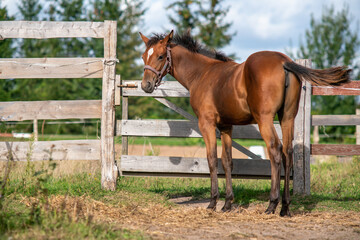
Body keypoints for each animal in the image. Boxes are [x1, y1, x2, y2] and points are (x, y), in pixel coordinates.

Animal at [138, 30, 348, 218]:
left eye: (160, 56)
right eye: (143, 56)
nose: (146, 86)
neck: (202, 74)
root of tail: (284, 61)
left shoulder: (206, 124)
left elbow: (212, 159)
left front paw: (213, 202)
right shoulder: (226, 126)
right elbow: (227, 161)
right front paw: (227, 204)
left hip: (265, 119)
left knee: (275, 151)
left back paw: (272, 204)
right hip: (287, 117)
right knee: (287, 153)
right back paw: (285, 207)